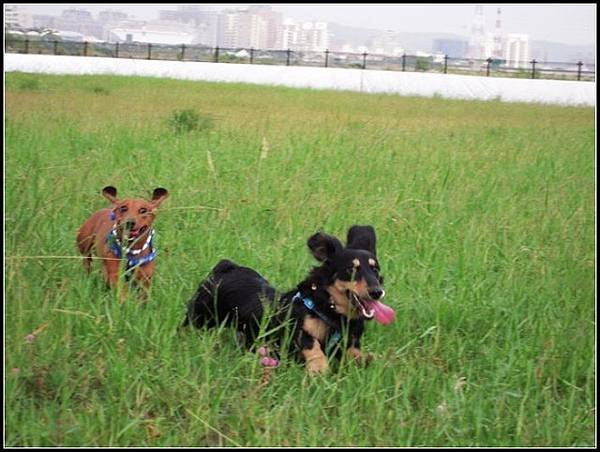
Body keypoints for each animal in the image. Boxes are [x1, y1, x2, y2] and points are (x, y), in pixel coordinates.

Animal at [180, 226, 396, 374]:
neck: (329, 311)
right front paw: (319, 368)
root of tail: (226, 267)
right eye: (351, 269)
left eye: (375, 270)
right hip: (199, 317)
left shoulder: (350, 345)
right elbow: (312, 346)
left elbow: (360, 355)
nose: (377, 292)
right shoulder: (295, 333)